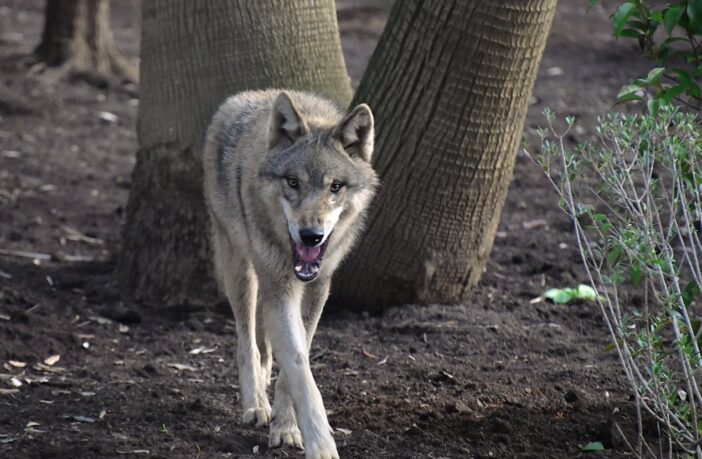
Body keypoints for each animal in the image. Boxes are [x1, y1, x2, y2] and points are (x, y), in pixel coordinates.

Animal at [203, 89, 378, 459]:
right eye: (293, 182)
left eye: (335, 186)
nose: (311, 235)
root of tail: (250, 95)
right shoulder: (280, 290)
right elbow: (299, 366)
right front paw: (321, 446)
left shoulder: (317, 289)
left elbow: (297, 359)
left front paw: (285, 427)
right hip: (240, 270)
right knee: (247, 342)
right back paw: (255, 405)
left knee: (264, 345)